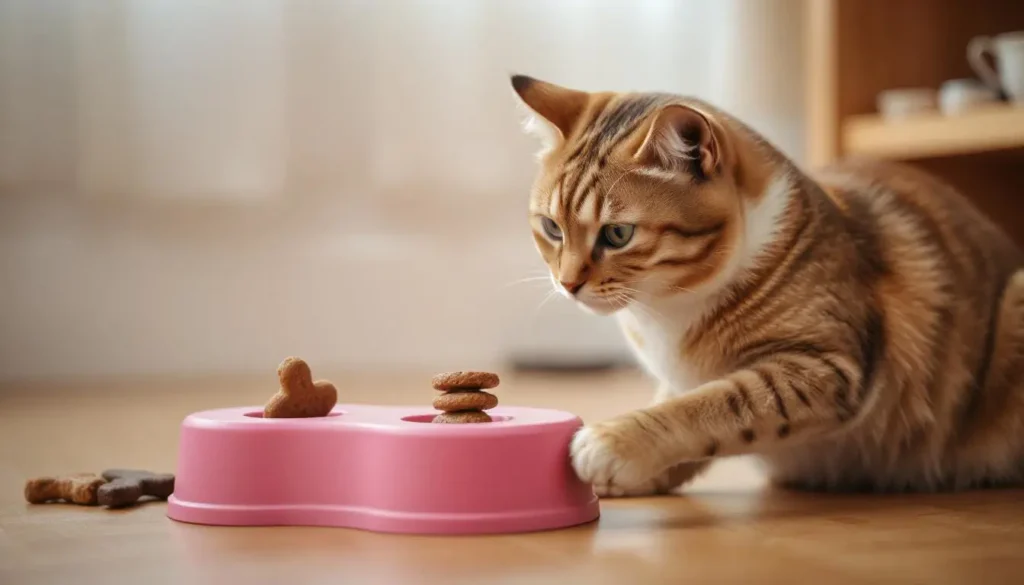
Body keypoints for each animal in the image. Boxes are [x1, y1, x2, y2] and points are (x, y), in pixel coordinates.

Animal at [512, 73, 1024, 493]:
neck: (668, 310)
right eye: (552, 228)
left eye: (618, 234)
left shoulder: (827, 367)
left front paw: (613, 443)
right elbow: (684, 404)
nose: (568, 283)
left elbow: (713, 404)